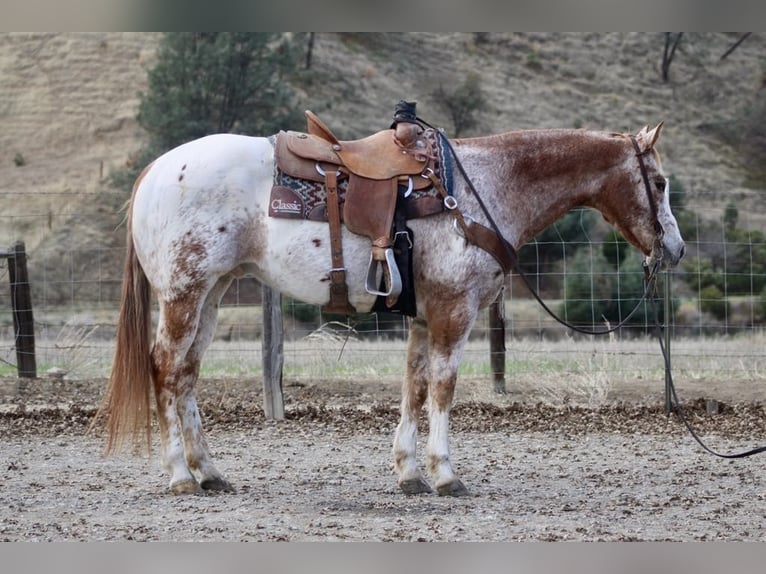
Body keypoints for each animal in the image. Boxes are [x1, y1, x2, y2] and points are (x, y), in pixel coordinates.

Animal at [93, 120, 688, 496]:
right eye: (659, 182)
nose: (676, 249)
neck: (479, 191)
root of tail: (154, 170)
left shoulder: (423, 316)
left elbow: (414, 388)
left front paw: (409, 473)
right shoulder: (452, 311)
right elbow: (443, 389)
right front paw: (445, 474)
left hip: (211, 296)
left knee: (187, 375)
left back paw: (210, 473)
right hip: (183, 295)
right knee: (166, 369)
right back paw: (179, 476)